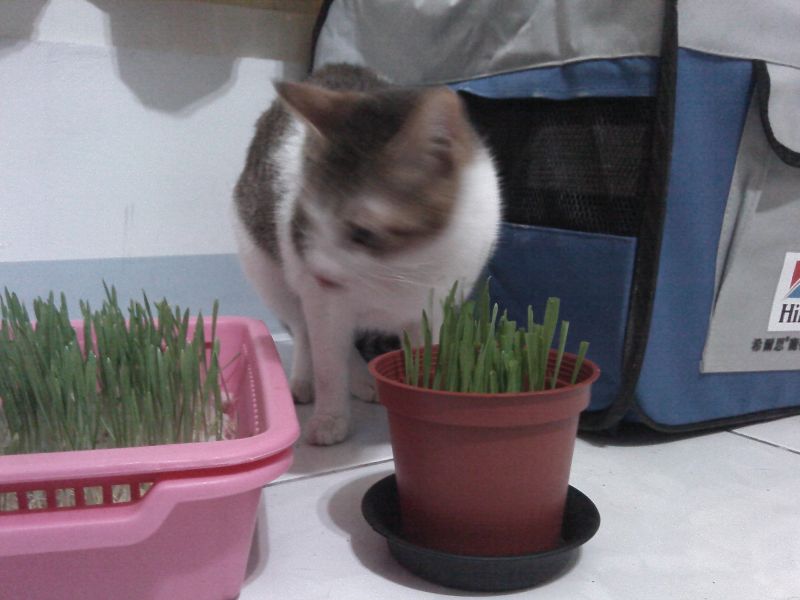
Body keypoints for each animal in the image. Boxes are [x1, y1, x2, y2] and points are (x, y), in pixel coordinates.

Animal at [233, 63, 502, 445]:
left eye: (362, 233)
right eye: (306, 220)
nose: (318, 271)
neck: (406, 265)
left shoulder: (438, 307)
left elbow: (427, 357)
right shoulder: (323, 301)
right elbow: (328, 362)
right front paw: (330, 418)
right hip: (269, 271)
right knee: (303, 330)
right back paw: (307, 379)